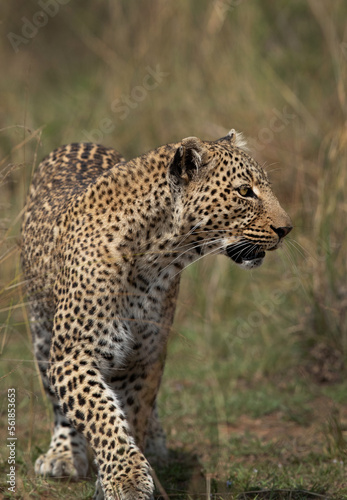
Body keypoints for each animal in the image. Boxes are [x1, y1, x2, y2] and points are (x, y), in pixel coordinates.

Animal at [21, 131, 294, 498]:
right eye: (244, 191)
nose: (287, 229)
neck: (157, 257)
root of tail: (79, 141)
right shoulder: (74, 355)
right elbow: (102, 415)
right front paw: (127, 480)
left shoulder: (144, 357)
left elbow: (131, 414)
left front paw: (117, 475)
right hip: (41, 334)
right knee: (60, 406)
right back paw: (63, 455)